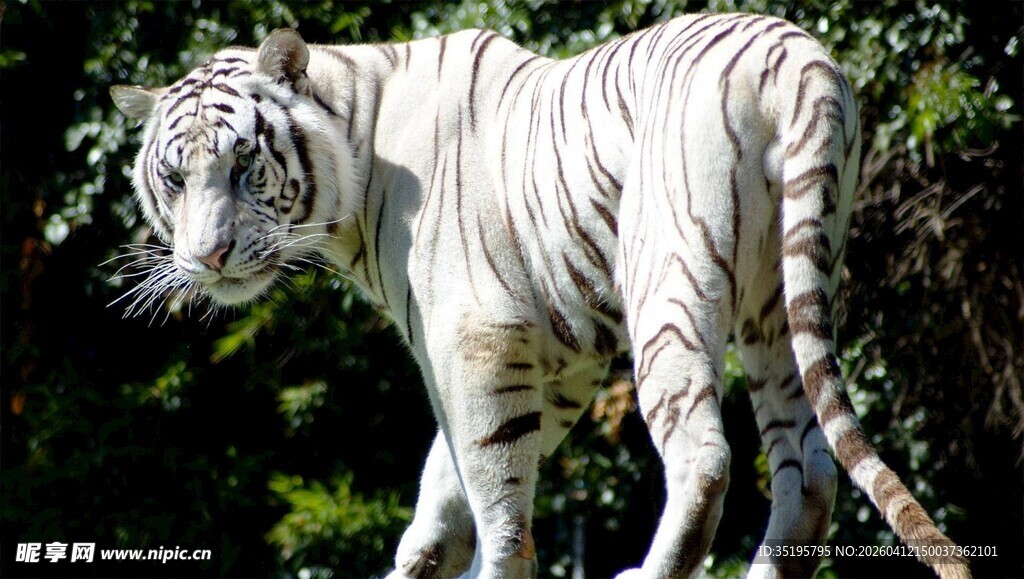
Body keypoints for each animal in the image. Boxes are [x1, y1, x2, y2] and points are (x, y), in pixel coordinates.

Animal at [111, 12, 970, 579]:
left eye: (244, 164)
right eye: (174, 177)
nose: (209, 255)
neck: (358, 141)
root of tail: (801, 59)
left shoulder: (478, 335)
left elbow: (493, 486)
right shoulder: (558, 357)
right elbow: (448, 468)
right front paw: (422, 552)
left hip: (670, 274)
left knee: (705, 456)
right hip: (780, 293)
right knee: (811, 473)